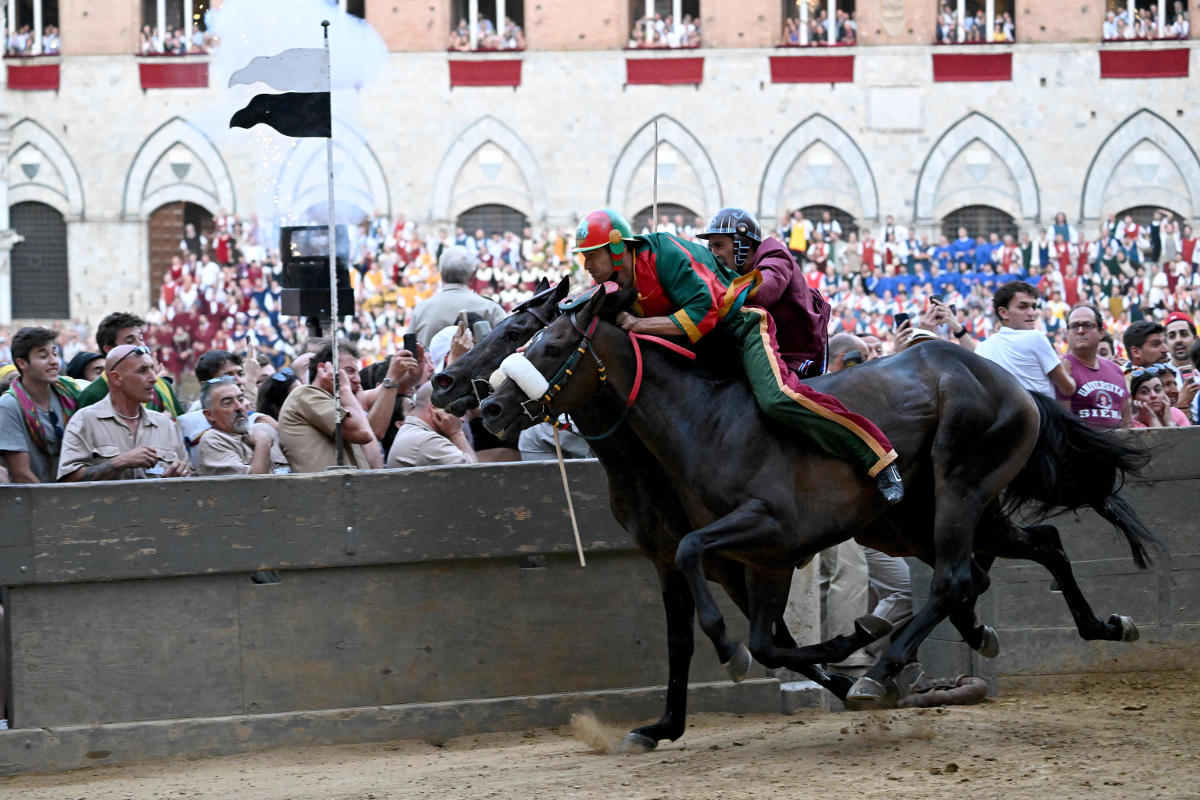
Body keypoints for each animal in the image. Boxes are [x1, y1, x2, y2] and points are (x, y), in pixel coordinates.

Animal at [472, 284, 1156, 748]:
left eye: (547, 343)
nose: (490, 408)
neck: (706, 424)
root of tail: (1016, 385)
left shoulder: (767, 531)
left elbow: (738, 616)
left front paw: (753, 652)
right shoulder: (749, 559)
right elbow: (751, 639)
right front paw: (664, 723)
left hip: (961, 485)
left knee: (957, 577)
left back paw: (883, 671)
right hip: (935, 515)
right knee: (1036, 544)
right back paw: (1100, 625)